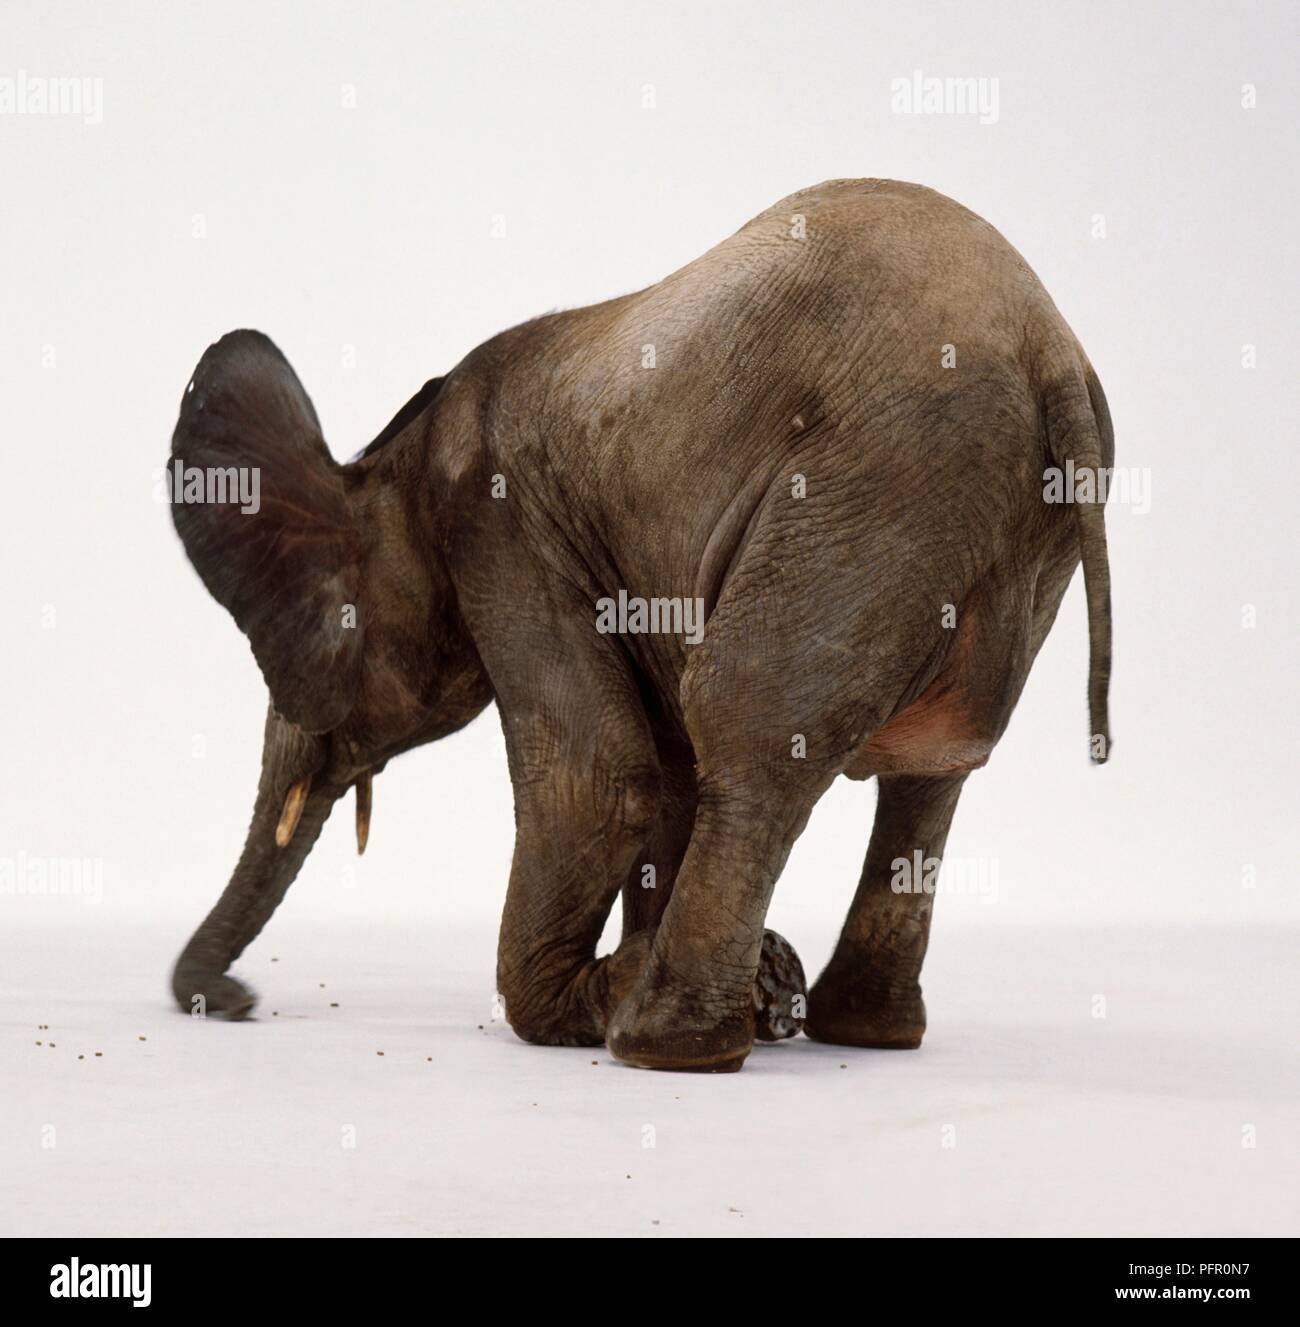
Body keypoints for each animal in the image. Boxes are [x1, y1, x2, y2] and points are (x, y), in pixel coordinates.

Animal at [166, 178, 1113, 1072]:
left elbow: (599, 776)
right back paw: (851, 1029)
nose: (239, 1000)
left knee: (748, 729)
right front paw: (746, 979)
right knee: (930, 767)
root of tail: (1049, 350)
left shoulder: (503, 529)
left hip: (878, 482)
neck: (394, 457)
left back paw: (665, 1045)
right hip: (997, 528)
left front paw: (627, 993)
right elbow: (665, 771)